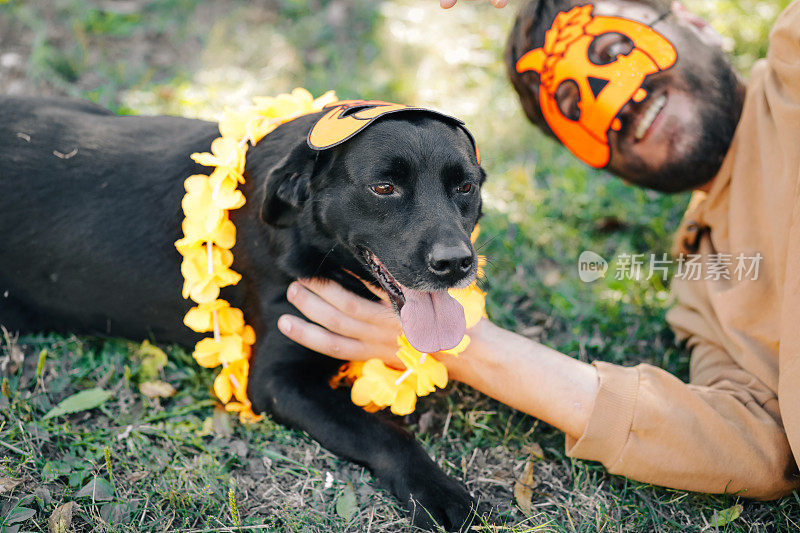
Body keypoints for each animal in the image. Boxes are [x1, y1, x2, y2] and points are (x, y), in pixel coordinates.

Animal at [0, 95, 484, 528]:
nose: (455, 263)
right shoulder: (276, 381)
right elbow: (385, 433)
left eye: (466, 187)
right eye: (384, 188)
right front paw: (439, 491)